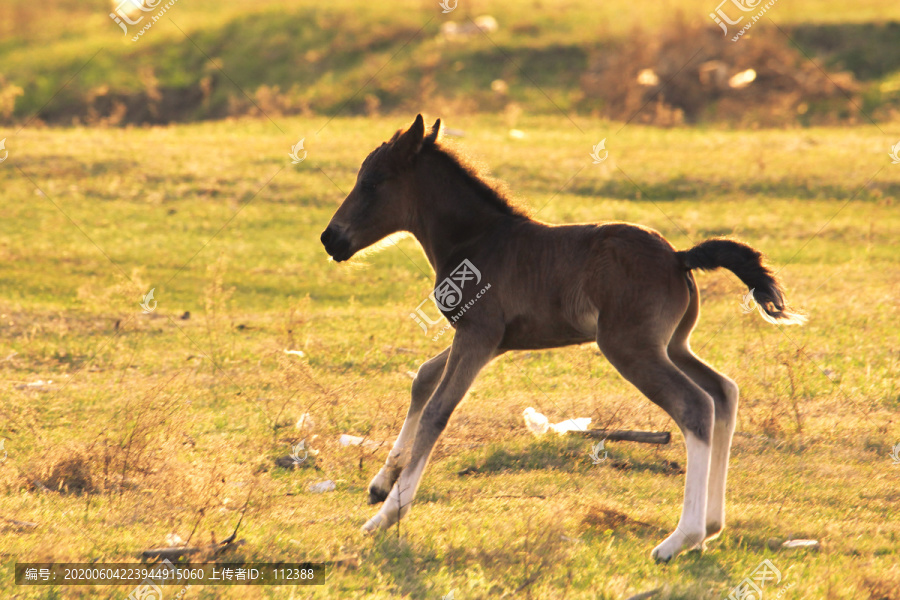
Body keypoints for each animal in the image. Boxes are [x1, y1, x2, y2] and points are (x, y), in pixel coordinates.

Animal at [320, 116, 804, 564]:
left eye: (372, 183)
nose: (330, 238)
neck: (476, 241)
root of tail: (678, 257)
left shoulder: (479, 335)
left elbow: (439, 410)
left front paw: (387, 515)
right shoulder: (489, 341)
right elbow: (422, 378)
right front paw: (381, 484)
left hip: (630, 348)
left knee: (696, 406)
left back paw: (679, 539)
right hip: (673, 346)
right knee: (723, 392)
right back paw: (711, 526)